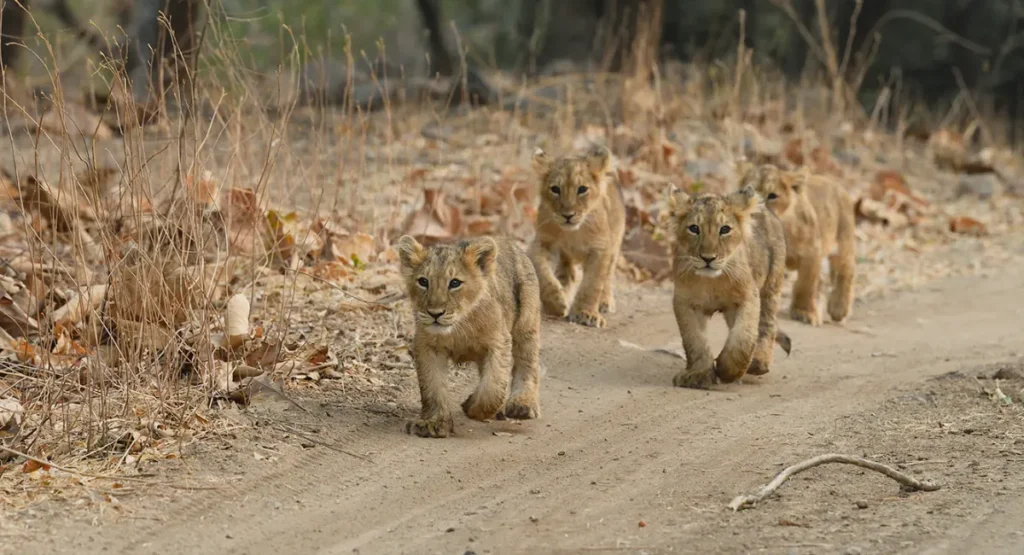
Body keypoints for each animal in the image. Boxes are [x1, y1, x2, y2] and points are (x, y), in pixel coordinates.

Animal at [396, 234, 543, 438]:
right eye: (423, 281)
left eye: (455, 283)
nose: (435, 313)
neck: (459, 326)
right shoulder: (427, 346)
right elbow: (432, 387)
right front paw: (433, 423)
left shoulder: (498, 342)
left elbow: (493, 386)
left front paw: (472, 407)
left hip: (526, 324)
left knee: (527, 363)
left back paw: (522, 404)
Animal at [528, 145, 626, 328]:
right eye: (555, 189)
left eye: (582, 189)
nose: (568, 215)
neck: (573, 234)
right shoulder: (542, 242)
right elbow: (541, 270)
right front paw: (555, 302)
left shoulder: (600, 248)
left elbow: (592, 284)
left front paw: (586, 314)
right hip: (566, 257)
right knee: (568, 273)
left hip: (615, 244)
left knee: (608, 275)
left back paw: (604, 302)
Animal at [667, 185, 788, 389]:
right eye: (694, 228)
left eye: (724, 229)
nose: (708, 258)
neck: (712, 283)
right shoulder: (685, 302)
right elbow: (695, 340)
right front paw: (698, 374)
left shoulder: (748, 297)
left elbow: (743, 337)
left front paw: (727, 370)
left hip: (771, 286)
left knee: (766, 326)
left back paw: (758, 363)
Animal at [740, 163, 856, 325]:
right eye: (746, 192)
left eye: (772, 196)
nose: (755, 213)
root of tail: (839, 186)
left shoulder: (812, 252)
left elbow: (806, 284)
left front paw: (804, 312)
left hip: (842, 243)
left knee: (846, 270)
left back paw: (839, 308)